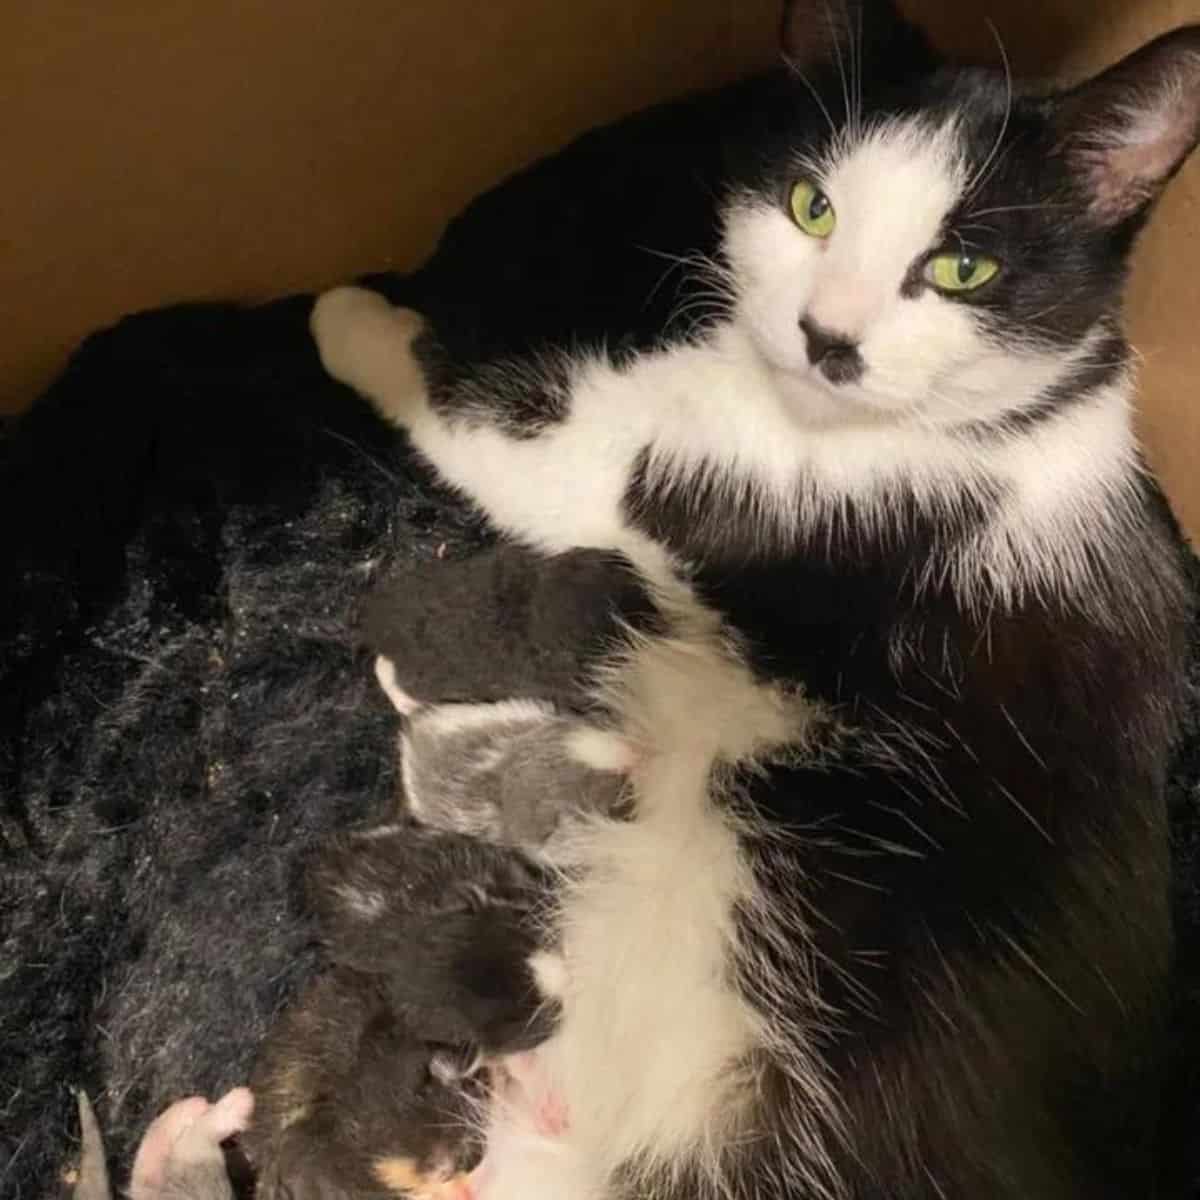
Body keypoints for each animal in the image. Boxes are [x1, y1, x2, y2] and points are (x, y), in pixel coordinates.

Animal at [312, 4, 1200, 1195]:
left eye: (963, 266)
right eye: (811, 205)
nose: (829, 339)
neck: (1005, 425)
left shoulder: (708, 483)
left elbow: (502, 419)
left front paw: (350, 321)